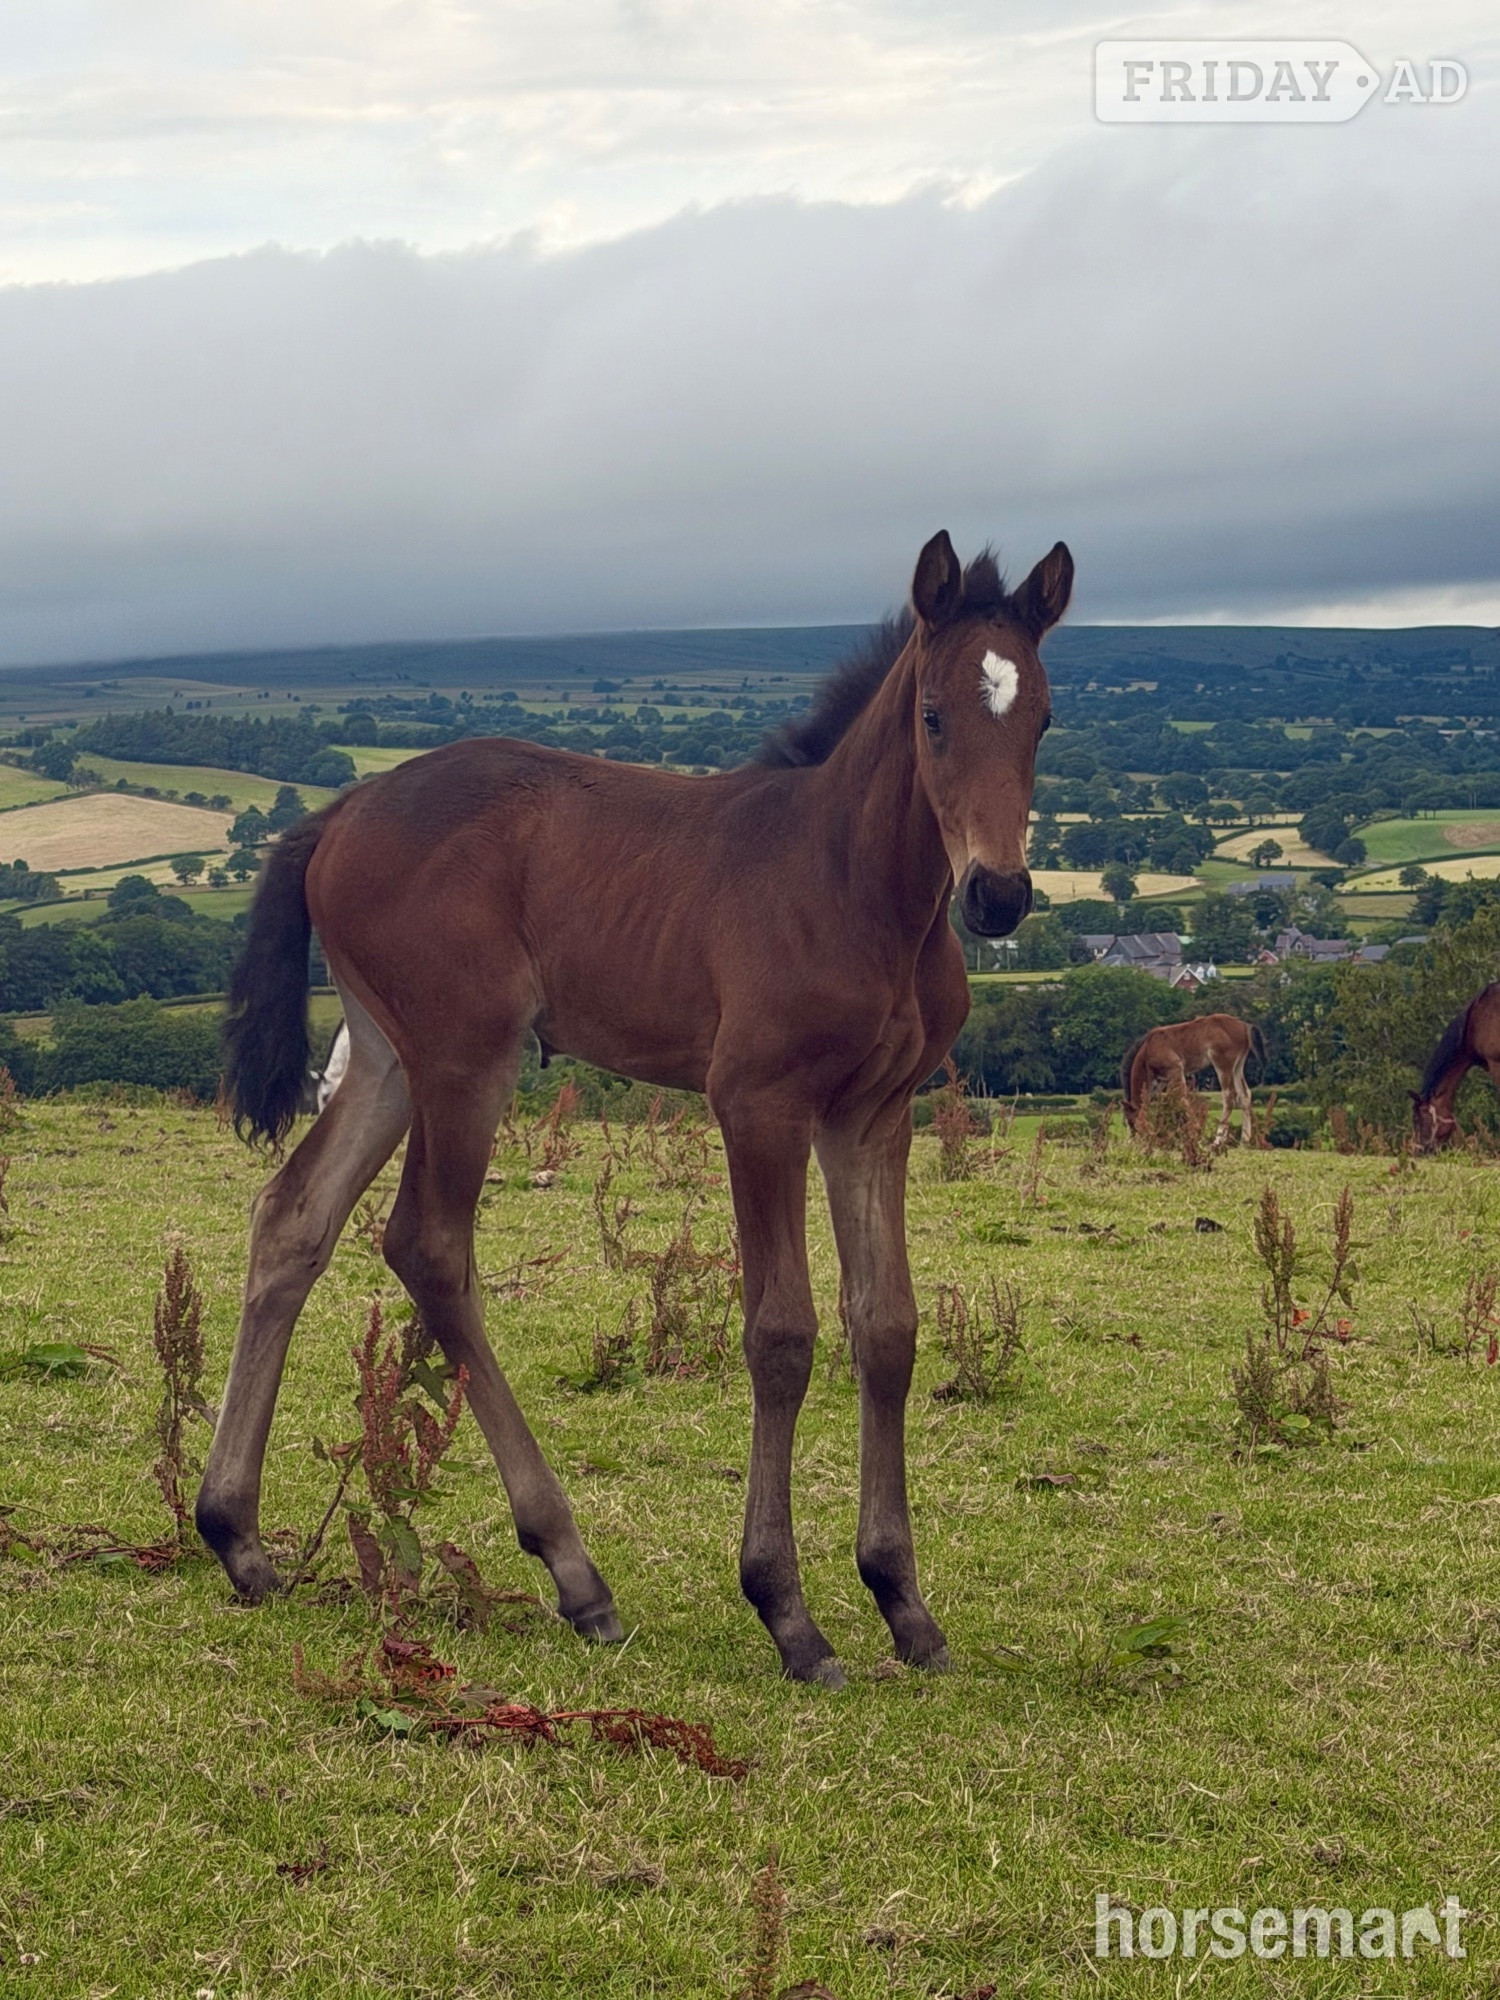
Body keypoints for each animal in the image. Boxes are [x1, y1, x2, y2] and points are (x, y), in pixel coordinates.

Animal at [202, 528, 1072, 1685]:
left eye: (1043, 716)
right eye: (932, 713)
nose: (999, 895)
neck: (853, 884)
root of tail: (341, 809)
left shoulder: (873, 1115)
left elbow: (886, 1327)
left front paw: (902, 1600)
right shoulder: (758, 1103)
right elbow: (782, 1333)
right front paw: (787, 1611)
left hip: (387, 1059)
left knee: (293, 1217)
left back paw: (237, 1537)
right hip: (465, 1056)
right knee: (427, 1244)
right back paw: (577, 1573)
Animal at [1120, 1014, 1264, 1147]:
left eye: (1132, 1121)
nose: (1133, 1141)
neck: (1148, 1050)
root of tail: (1244, 1026)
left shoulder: (1175, 1069)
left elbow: (1182, 1099)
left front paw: (1194, 1134)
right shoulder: (1161, 1082)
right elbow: (1165, 1103)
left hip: (1223, 1065)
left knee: (1229, 1096)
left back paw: (1217, 1141)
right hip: (1237, 1067)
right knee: (1244, 1096)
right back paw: (1244, 1141)